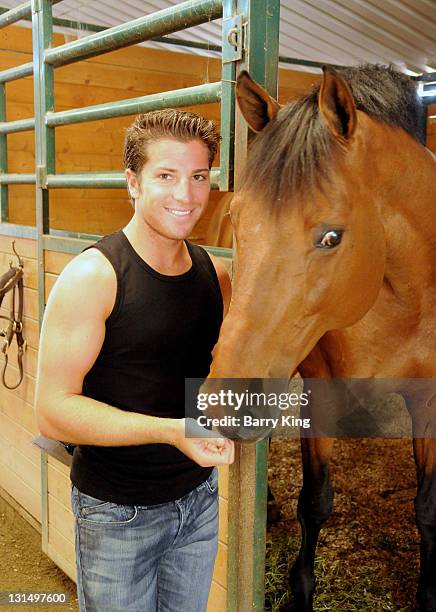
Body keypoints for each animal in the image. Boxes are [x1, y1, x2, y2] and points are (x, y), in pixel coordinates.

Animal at [203, 64, 436, 608]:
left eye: (332, 237)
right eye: (239, 220)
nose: (224, 404)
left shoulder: (430, 400)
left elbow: (426, 507)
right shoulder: (319, 392)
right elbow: (314, 502)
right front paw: (301, 591)